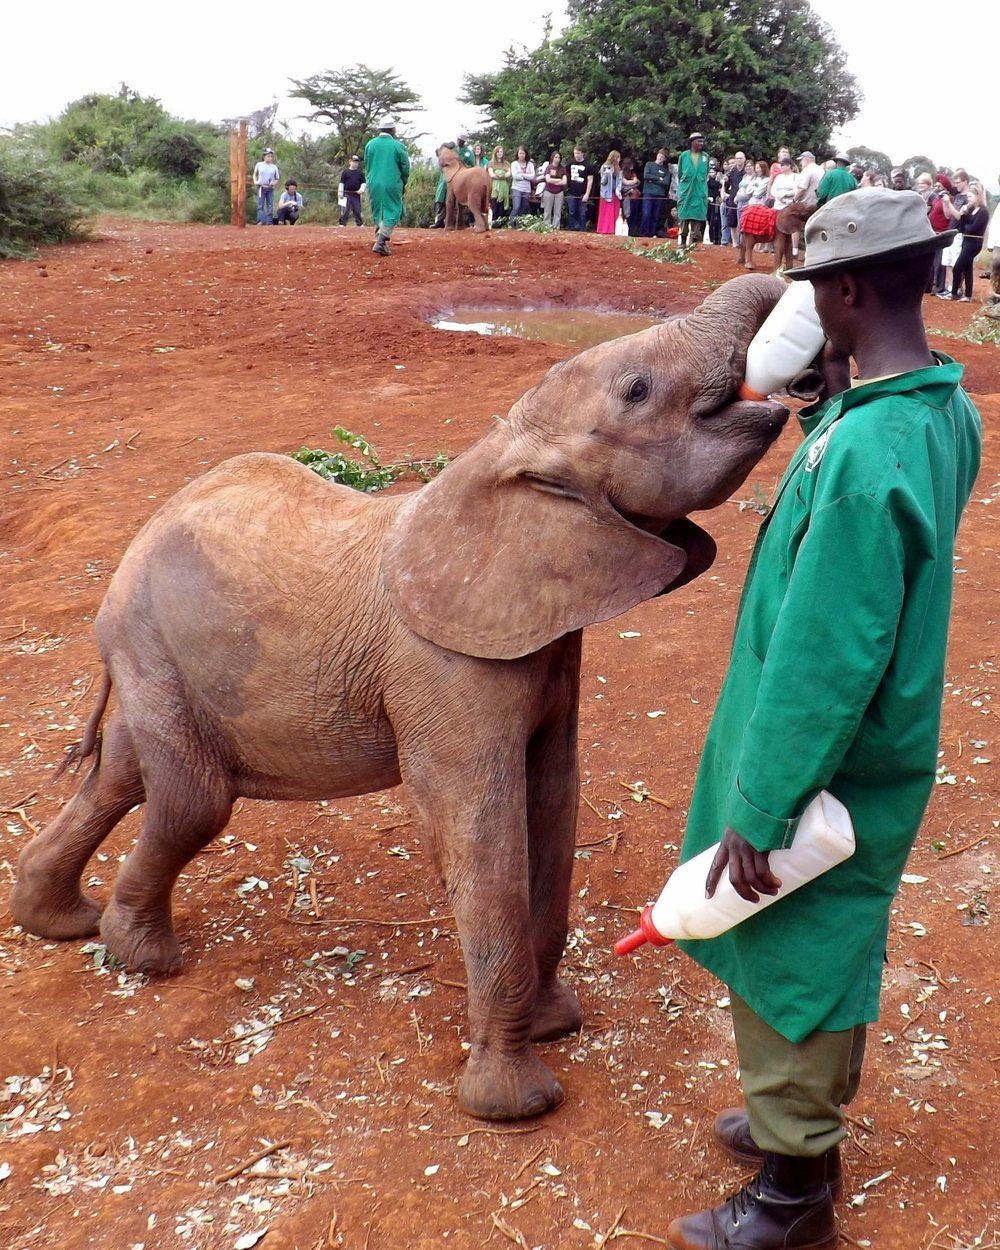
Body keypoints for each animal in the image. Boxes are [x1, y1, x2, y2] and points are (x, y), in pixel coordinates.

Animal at [11, 275, 789, 1121]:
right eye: (637, 390)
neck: (503, 453)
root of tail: (135, 544)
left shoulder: (544, 641)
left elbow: (554, 797)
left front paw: (556, 1025)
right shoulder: (440, 665)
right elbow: (478, 823)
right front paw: (515, 1106)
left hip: (156, 655)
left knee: (124, 772)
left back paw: (64, 922)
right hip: (149, 638)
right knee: (192, 799)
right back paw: (141, 957)